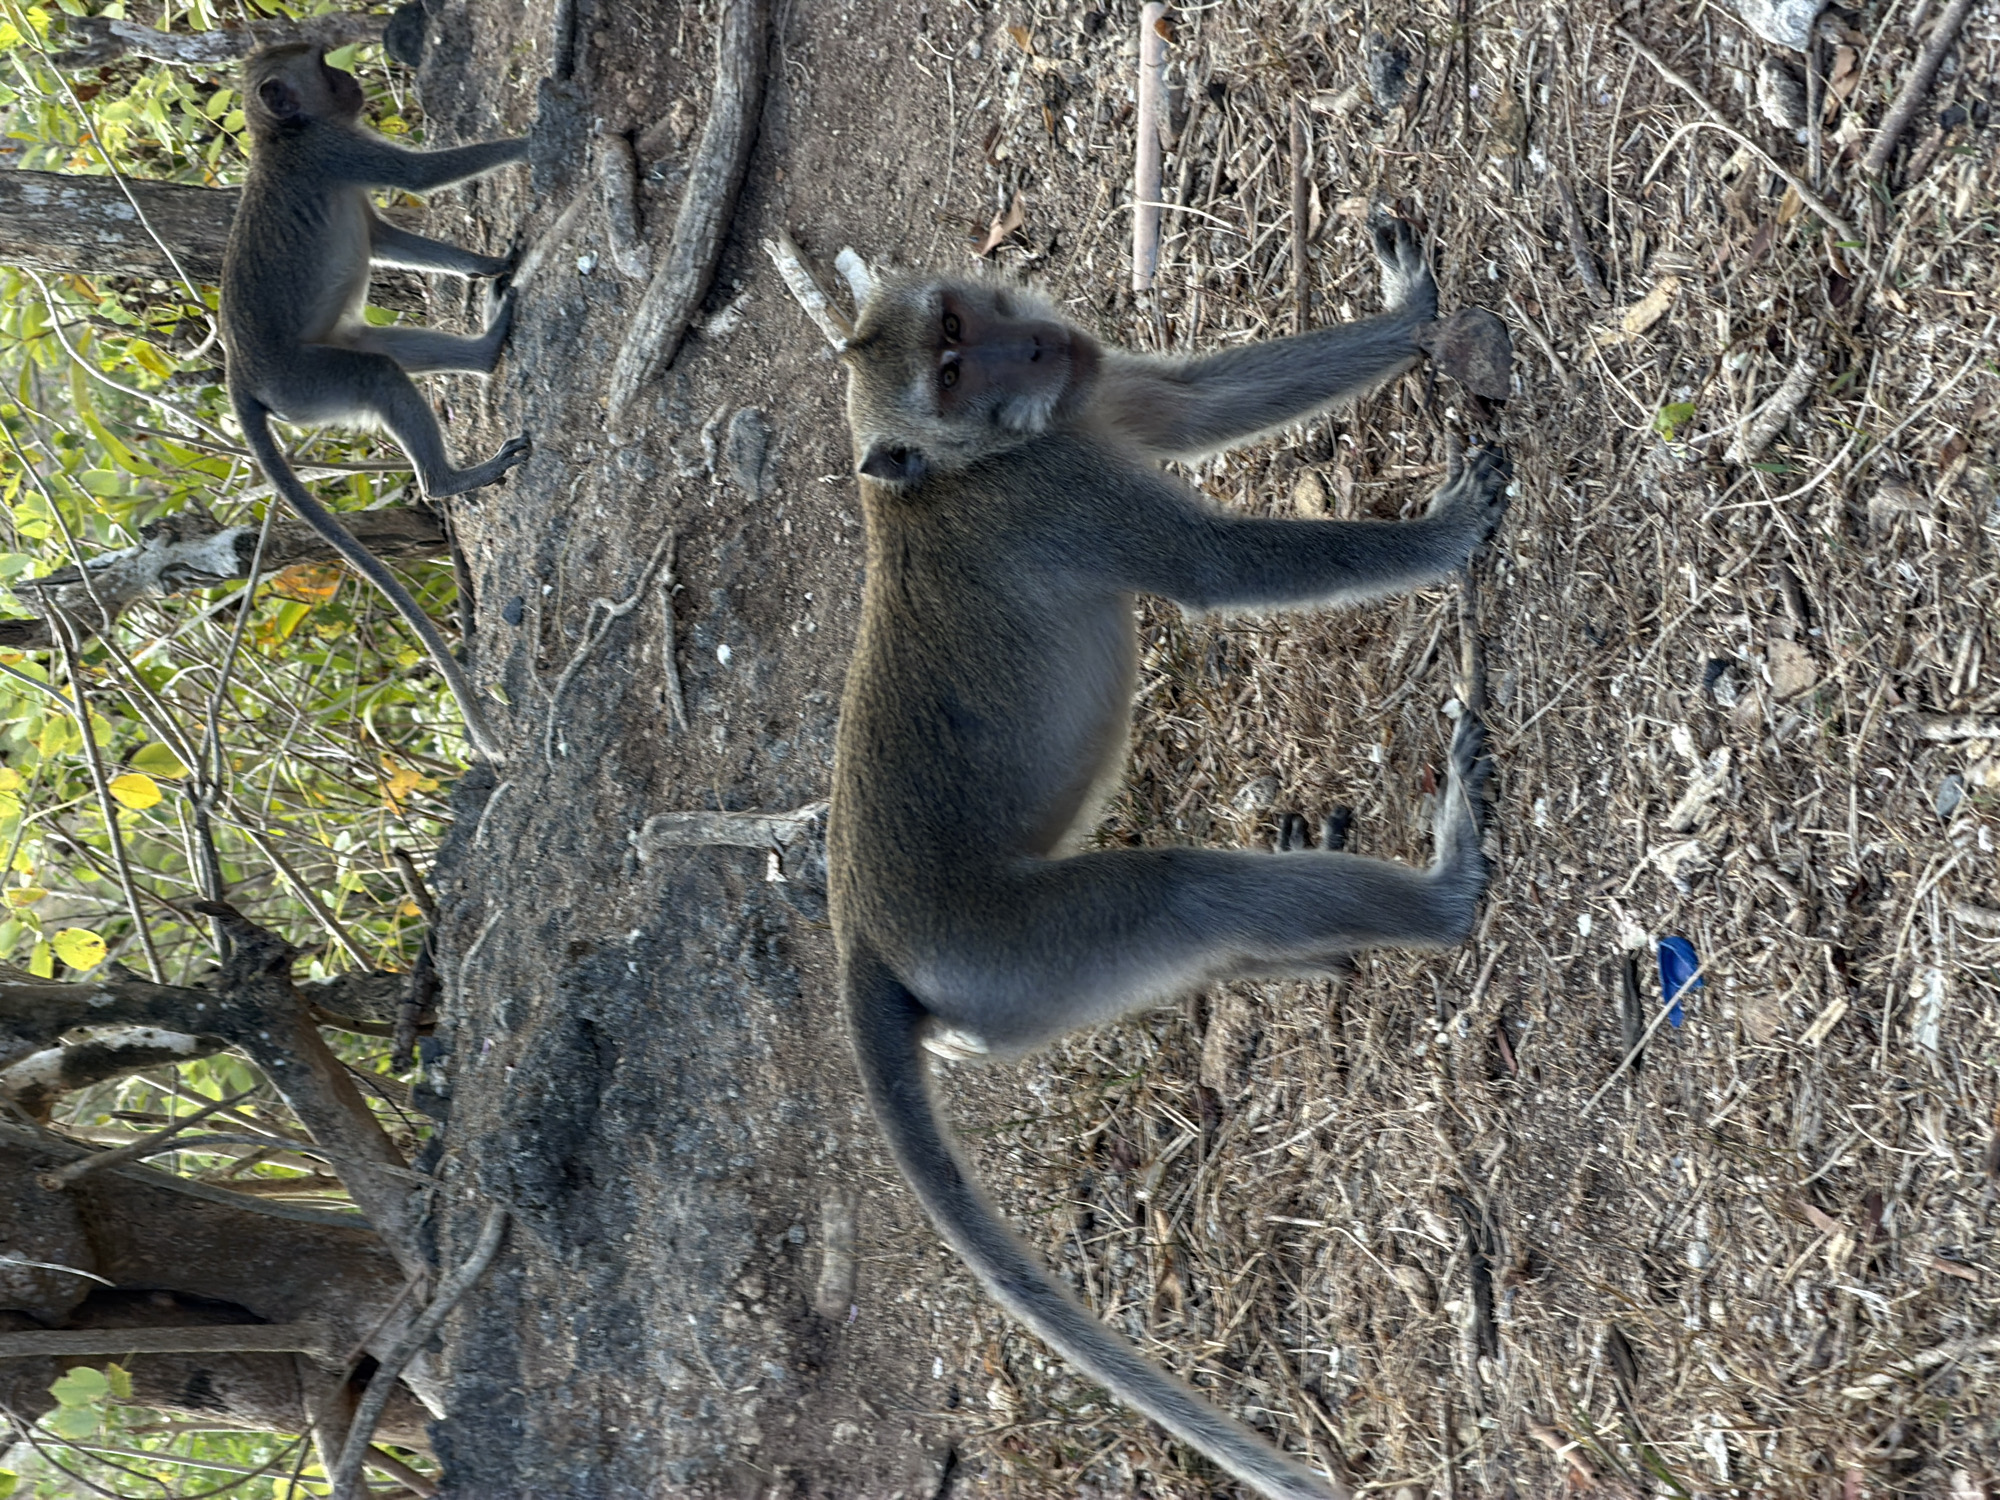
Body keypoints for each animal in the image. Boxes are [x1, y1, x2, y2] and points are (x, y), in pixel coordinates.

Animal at [222, 44, 530, 762]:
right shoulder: (336, 149)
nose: (350, 79)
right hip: (304, 385)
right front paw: (542, 134)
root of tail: (239, 376)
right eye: (320, 67)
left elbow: (386, 236)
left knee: (381, 350)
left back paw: (482, 352)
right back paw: (450, 479)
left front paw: (486, 263)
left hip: (309, 380)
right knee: (379, 374)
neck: (281, 138)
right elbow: (419, 176)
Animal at [827, 220, 1509, 1500]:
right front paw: (1440, 535)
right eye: (949, 370)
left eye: (960, 325)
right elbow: (1217, 569)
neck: (963, 468)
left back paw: (1292, 963)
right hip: (1019, 952)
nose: (1033, 348)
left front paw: (1405, 315)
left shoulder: (1091, 407)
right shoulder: (1062, 491)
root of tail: (864, 947)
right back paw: (1442, 894)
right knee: (1183, 894)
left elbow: (1190, 404)